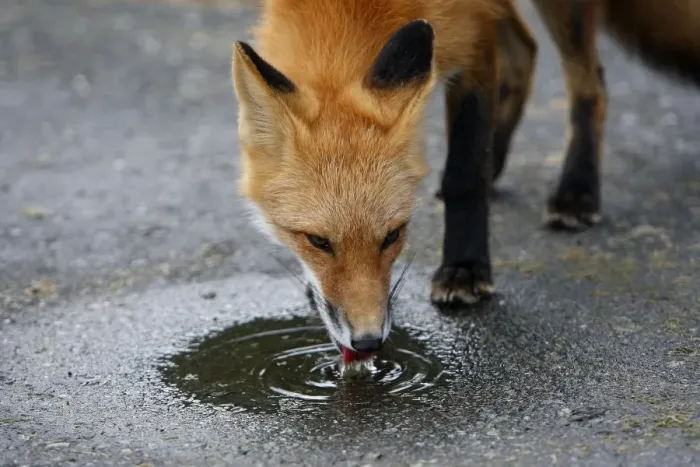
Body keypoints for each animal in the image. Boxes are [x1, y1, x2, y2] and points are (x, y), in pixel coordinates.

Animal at [231, 0, 700, 360]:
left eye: (393, 235)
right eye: (317, 241)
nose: (366, 344)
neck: (346, 9)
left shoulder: (472, 31)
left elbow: (465, 173)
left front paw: (465, 267)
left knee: (589, 82)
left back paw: (577, 190)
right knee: (526, 50)